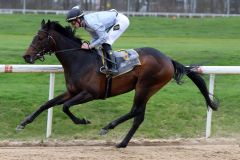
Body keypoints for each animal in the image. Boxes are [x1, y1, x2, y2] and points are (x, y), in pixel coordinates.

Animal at [18, 19, 218, 148]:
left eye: (40, 37)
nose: (26, 56)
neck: (80, 60)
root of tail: (168, 59)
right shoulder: (72, 92)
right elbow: (47, 104)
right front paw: (24, 122)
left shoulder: (90, 94)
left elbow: (65, 107)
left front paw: (82, 120)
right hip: (146, 89)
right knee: (138, 116)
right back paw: (122, 143)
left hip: (145, 86)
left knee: (135, 111)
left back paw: (108, 127)